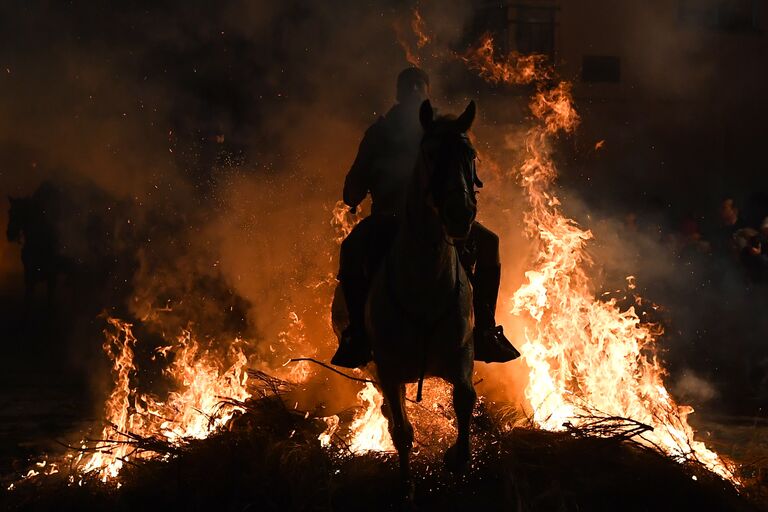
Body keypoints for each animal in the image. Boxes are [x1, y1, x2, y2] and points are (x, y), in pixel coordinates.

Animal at [366, 100, 480, 500]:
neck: (425, 288)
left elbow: (465, 399)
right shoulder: (387, 368)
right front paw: (406, 488)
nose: (460, 213)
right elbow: (401, 432)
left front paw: (458, 460)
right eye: (430, 153)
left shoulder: (462, 354)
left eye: (470, 155)